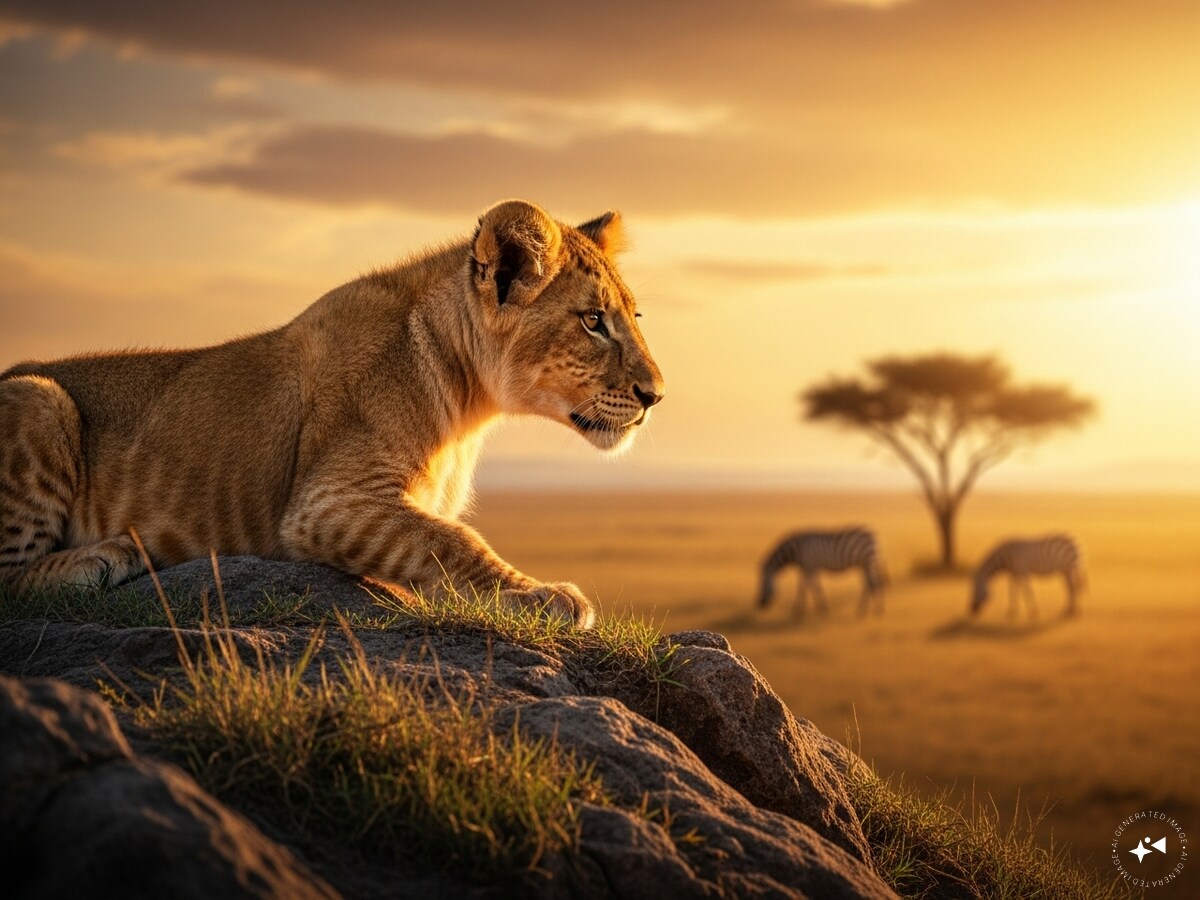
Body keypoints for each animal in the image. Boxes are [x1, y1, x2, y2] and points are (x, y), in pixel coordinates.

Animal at [0, 200, 665, 628]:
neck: (470, 402)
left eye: (633, 316)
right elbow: (451, 541)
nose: (657, 394)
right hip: (40, 398)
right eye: (592, 321)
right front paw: (543, 596)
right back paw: (105, 557)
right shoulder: (326, 502)